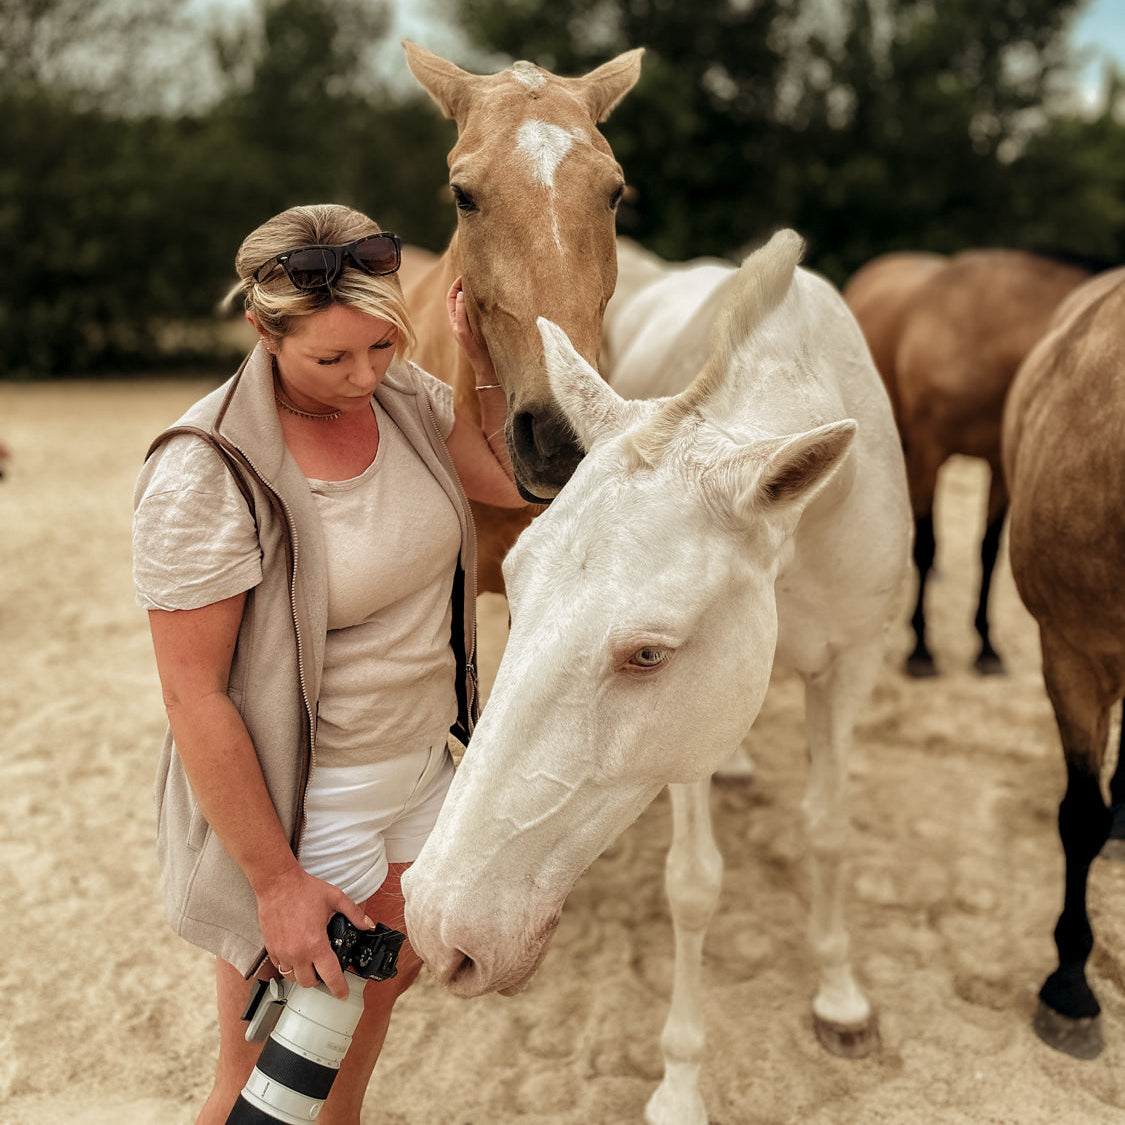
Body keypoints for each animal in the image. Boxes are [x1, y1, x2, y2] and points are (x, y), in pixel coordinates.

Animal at [403, 230, 912, 1124]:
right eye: (519, 586)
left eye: (647, 654)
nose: (435, 929)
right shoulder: (689, 742)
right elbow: (694, 885)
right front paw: (679, 1082)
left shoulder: (851, 663)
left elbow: (827, 830)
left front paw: (840, 995)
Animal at [843, 249, 1090, 678]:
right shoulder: (931, 453)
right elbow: (928, 543)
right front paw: (921, 650)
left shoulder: (1000, 468)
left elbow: (988, 553)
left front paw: (987, 647)